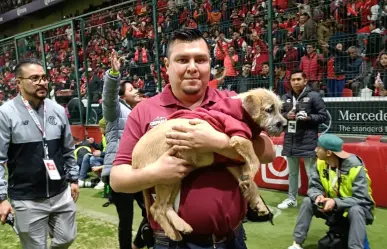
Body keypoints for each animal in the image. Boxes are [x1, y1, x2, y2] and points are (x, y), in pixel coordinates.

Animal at [132, 88, 286, 241]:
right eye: (270, 109)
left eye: (279, 109)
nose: (284, 125)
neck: (241, 111)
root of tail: (134, 162)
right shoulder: (239, 137)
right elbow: (254, 159)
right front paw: (250, 173)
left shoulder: (229, 162)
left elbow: (251, 181)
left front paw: (257, 200)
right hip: (165, 178)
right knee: (156, 208)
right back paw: (172, 233)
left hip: (175, 178)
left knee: (166, 206)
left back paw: (181, 226)